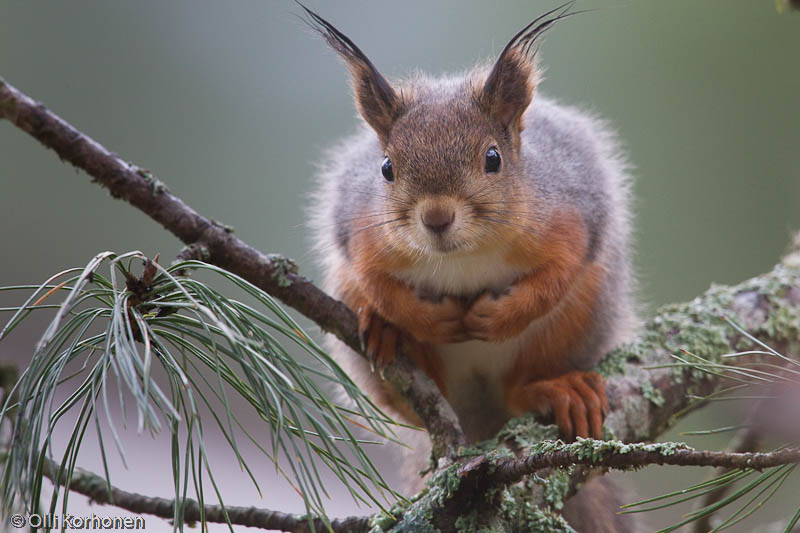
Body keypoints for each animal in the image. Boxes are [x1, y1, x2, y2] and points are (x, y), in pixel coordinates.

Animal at [304, 3, 636, 528]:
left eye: (493, 159)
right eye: (386, 168)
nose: (436, 219)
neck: (462, 255)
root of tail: (479, 418)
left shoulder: (571, 217)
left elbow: (558, 274)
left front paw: (495, 317)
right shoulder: (359, 232)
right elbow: (374, 280)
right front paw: (424, 319)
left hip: (577, 319)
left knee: (522, 387)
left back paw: (558, 389)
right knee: (409, 405)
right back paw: (387, 336)